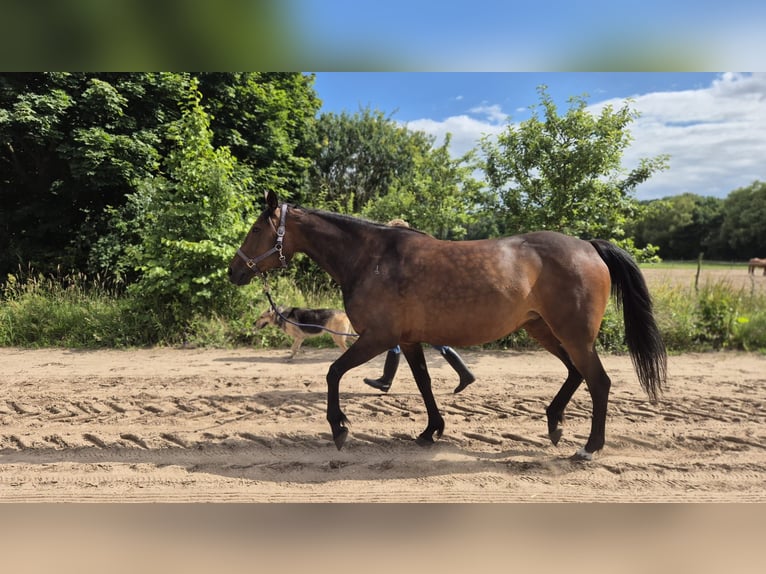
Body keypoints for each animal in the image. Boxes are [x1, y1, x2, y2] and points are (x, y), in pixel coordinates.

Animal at [228, 191, 664, 462]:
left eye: (255, 230)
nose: (234, 271)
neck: (372, 258)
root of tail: (589, 247)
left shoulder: (378, 337)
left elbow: (333, 373)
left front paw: (339, 428)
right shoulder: (408, 340)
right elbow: (423, 383)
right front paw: (431, 430)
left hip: (573, 335)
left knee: (598, 381)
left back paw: (589, 447)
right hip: (543, 329)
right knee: (575, 373)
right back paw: (554, 424)